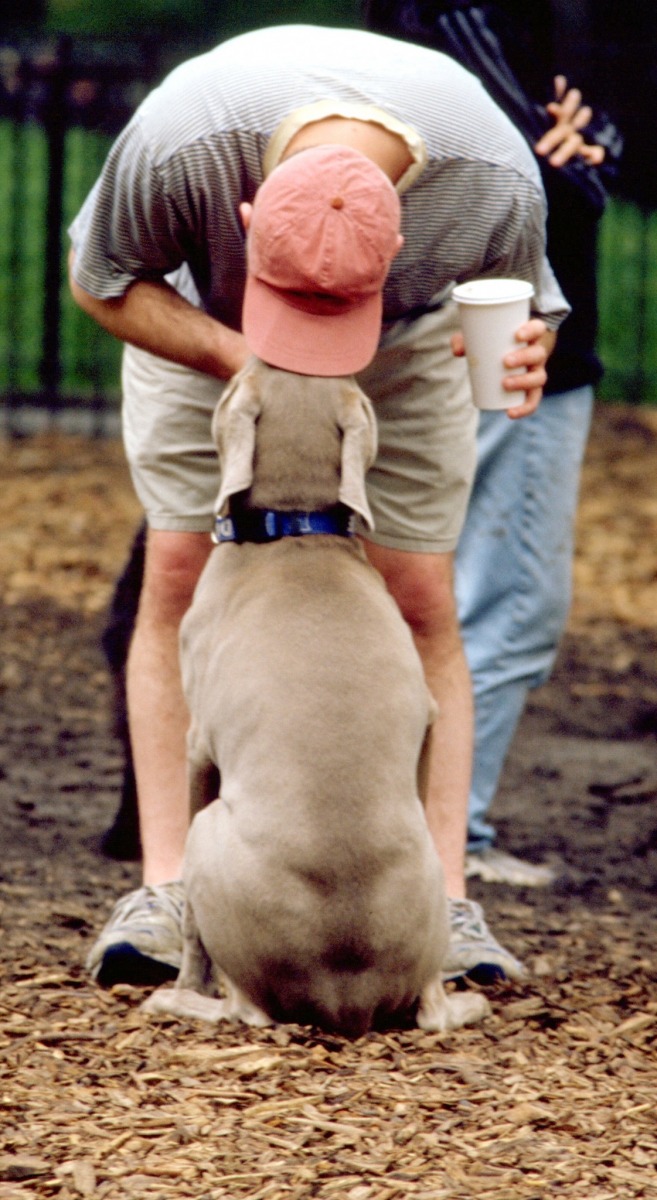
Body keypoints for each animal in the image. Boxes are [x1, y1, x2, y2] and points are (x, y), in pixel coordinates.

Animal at [142, 355, 486, 1041]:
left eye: (230, 388)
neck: (295, 531)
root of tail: (344, 995)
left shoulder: (196, 746)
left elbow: (190, 922)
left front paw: (186, 981)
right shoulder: (430, 719)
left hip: (208, 833)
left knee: (246, 1009)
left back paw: (178, 1001)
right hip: (428, 873)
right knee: (431, 1009)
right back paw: (468, 1001)